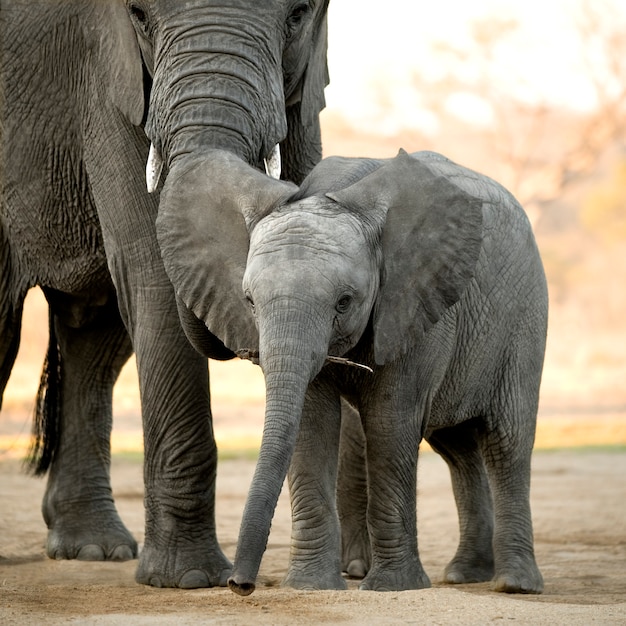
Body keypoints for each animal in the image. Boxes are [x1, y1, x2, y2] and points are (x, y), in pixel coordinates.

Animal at [0, 0, 330, 588]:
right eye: (139, 16)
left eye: (297, 15)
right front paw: (189, 580)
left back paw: (93, 550)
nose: (241, 586)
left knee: (96, 339)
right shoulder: (109, 77)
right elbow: (151, 269)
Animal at [156, 147, 544, 596]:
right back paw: (465, 574)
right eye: (249, 301)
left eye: (344, 302)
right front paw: (311, 586)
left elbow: (390, 424)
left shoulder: (415, 305)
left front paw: (394, 587)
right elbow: (312, 424)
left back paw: (514, 585)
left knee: (506, 442)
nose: (240, 585)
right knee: (457, 450)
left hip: (525, 318)